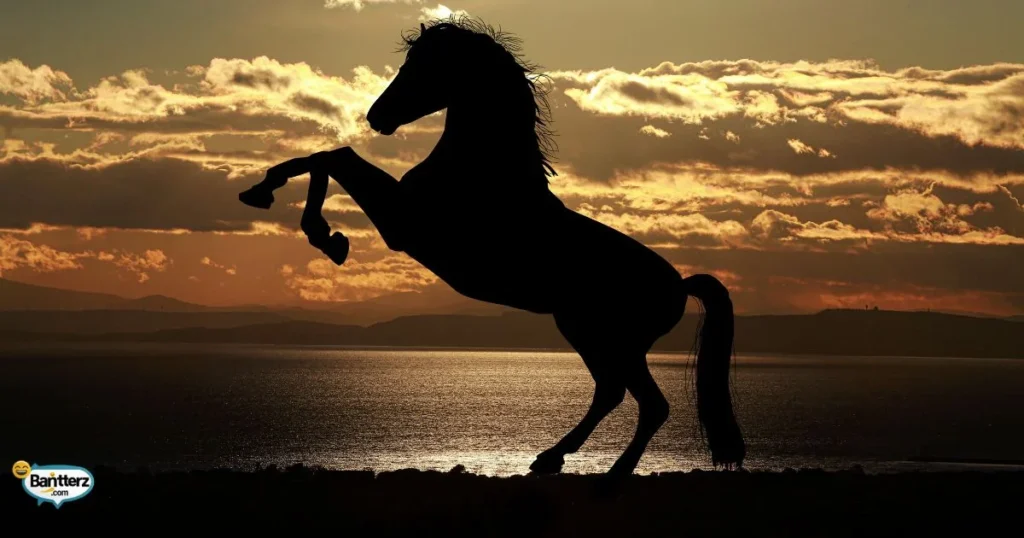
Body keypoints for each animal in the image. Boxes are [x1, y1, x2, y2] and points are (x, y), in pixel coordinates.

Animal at [238, 16, 745, 477]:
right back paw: (550, 459)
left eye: (423, 66)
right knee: (612, 392)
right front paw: (269, 196)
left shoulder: (403, 224)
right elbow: (325, 157)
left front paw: (322, 233)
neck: (482, 171)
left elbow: (334, 157)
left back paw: (609, 474)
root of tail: (679, 284)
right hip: (589, 332)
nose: (376, 117)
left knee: (646, 402)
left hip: (608, 337)